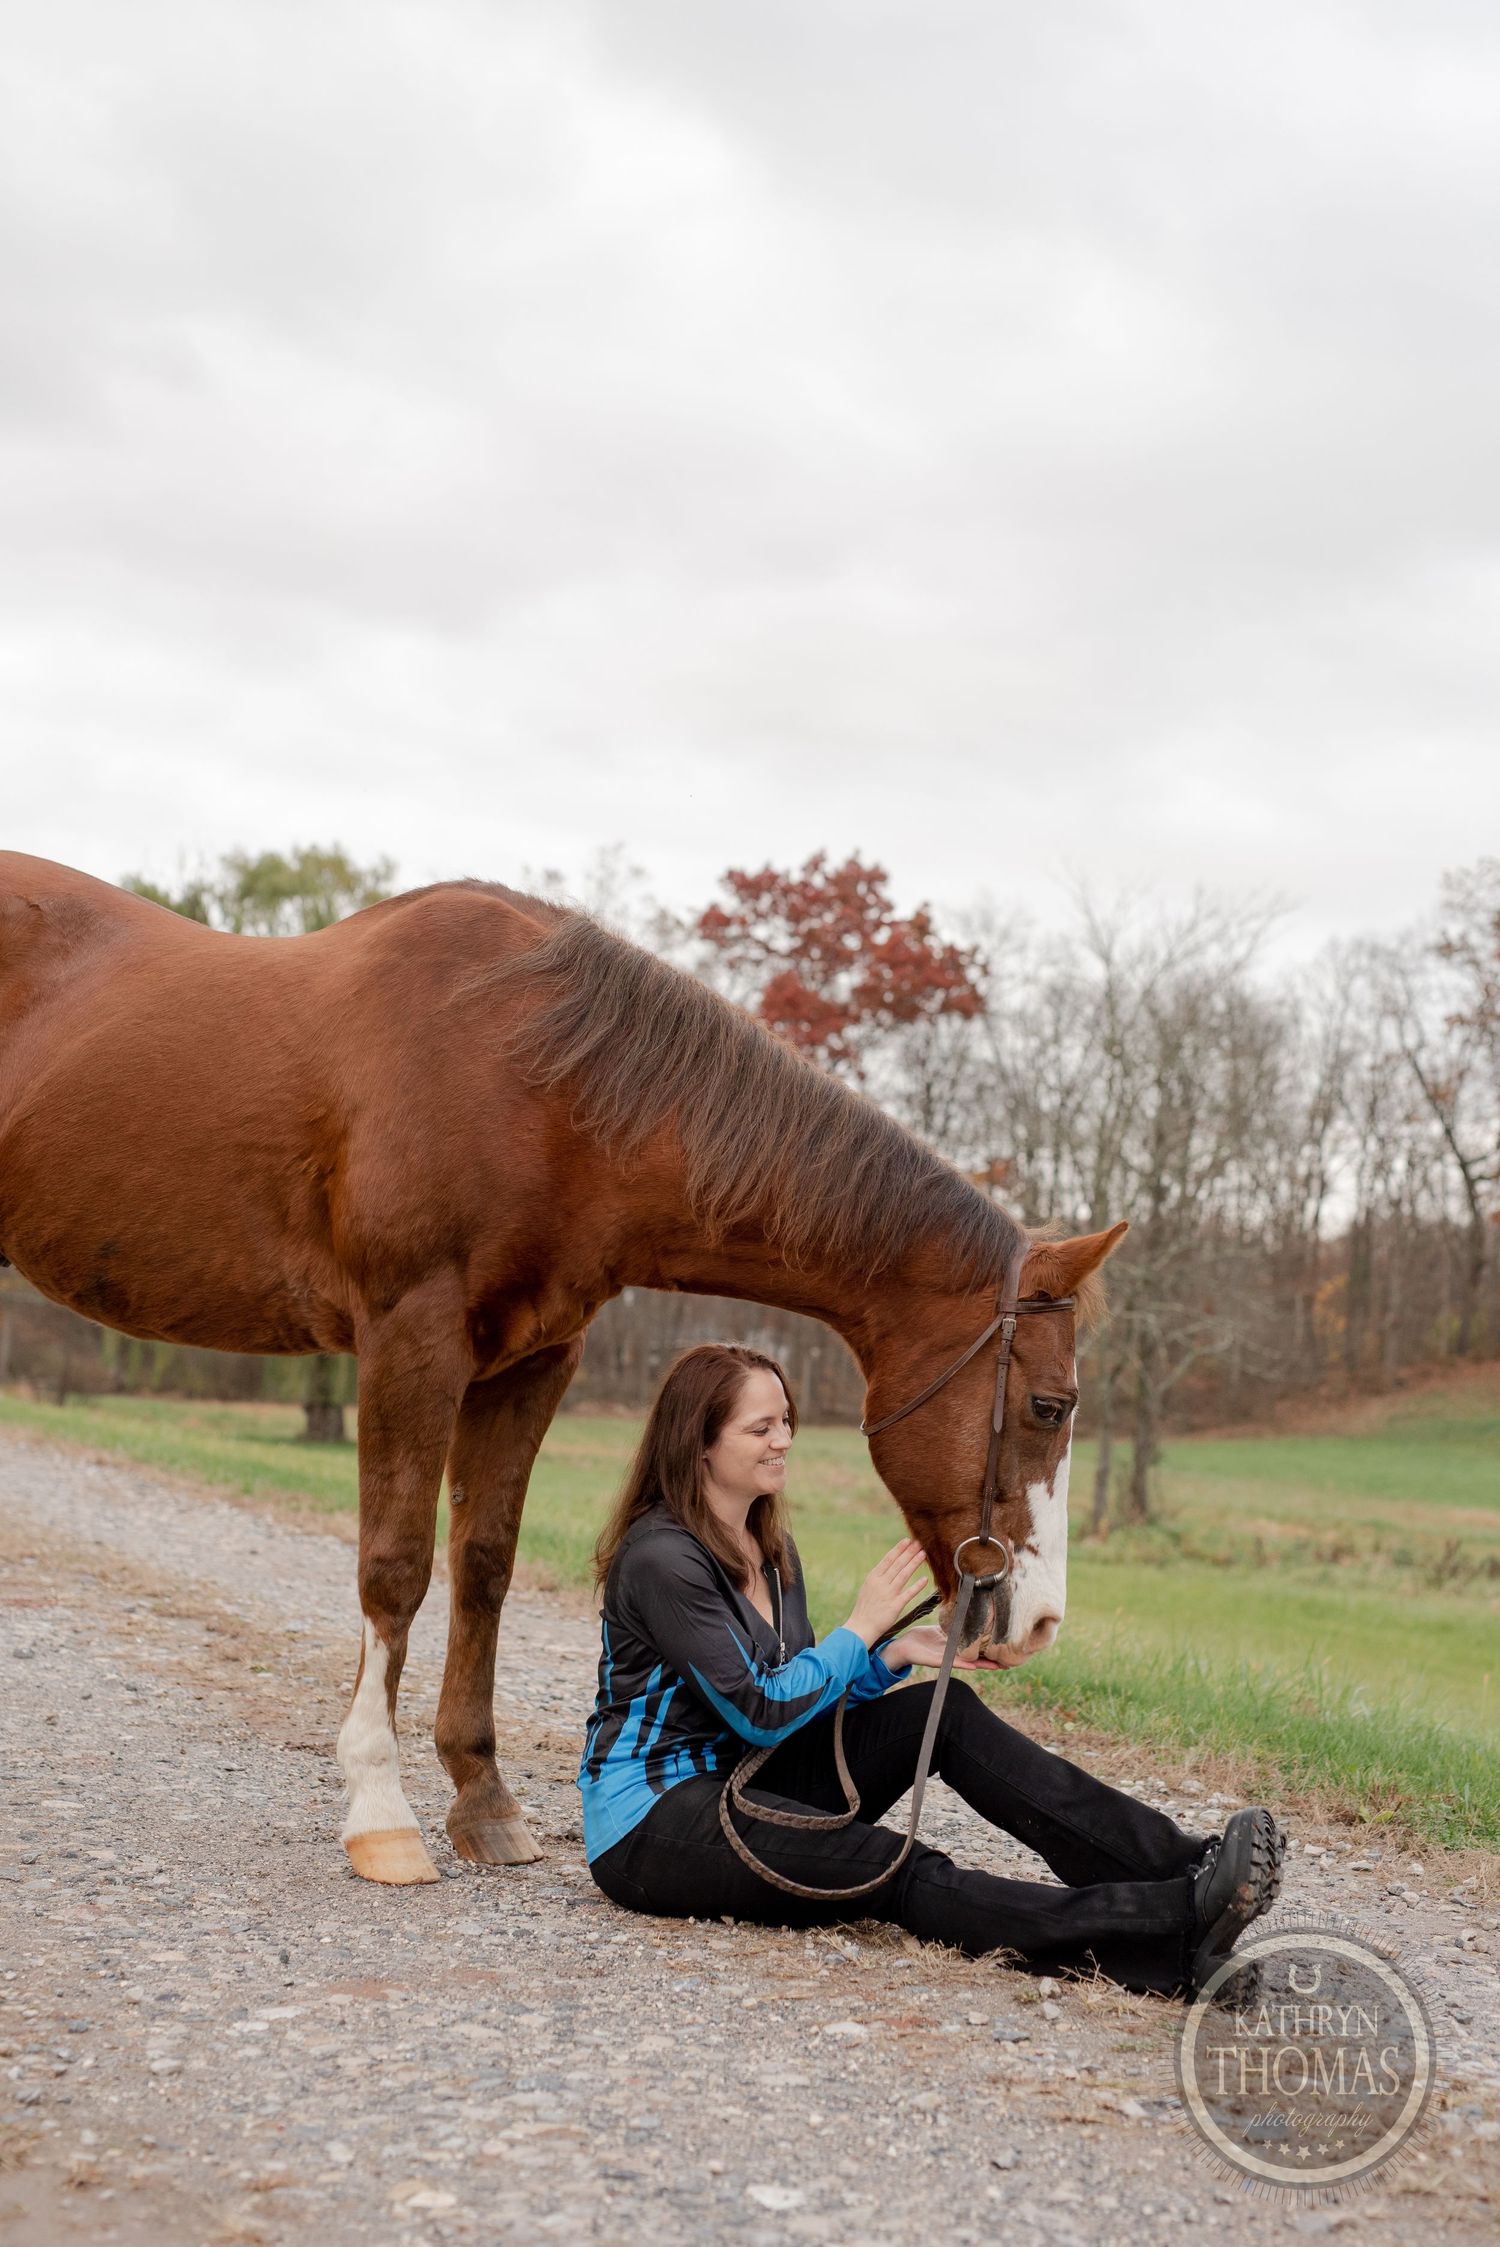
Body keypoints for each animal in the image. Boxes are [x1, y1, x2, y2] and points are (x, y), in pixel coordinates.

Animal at [0, 853, 1127, 1884]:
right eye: (1048, 1404)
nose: (1039, 1622)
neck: (538, 1081)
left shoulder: (532, 1361)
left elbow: (484, 1562)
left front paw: (483, 1800)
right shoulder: (411, 1338)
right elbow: (395, 1567)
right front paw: (381, 1810)